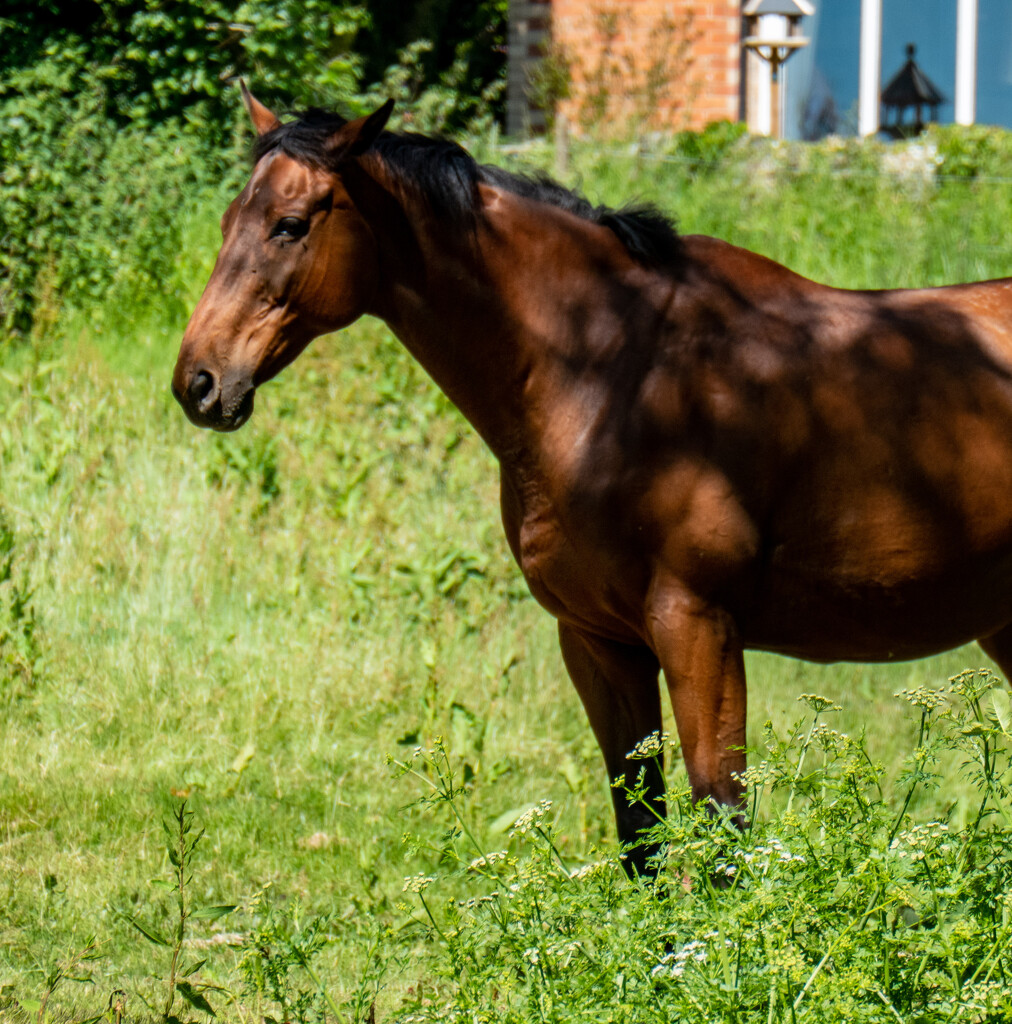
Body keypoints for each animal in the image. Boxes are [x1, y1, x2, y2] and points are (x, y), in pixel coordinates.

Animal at [176, 90, 1012, 872]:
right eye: (227, 221)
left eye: (289, 224)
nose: (200, 382)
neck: (612, 374)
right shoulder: (597, 641)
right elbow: (640, 832)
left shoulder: (698, 628)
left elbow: (722, 827)